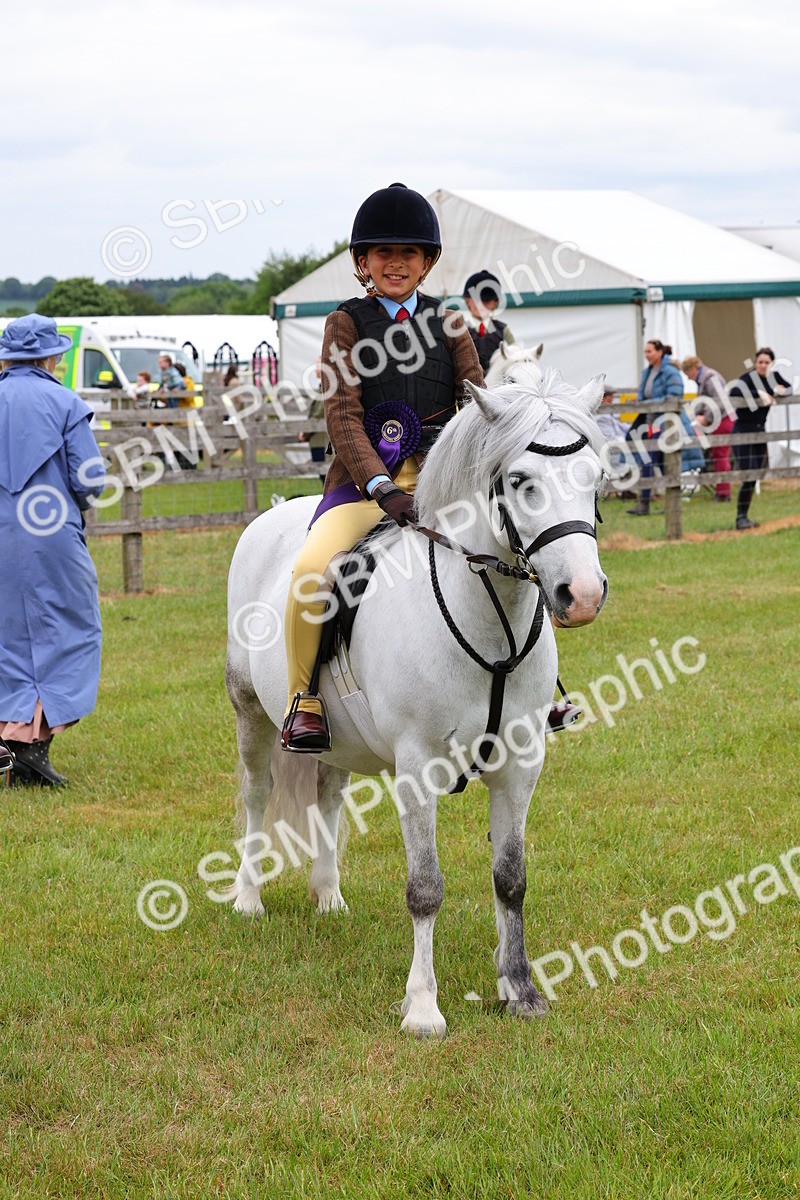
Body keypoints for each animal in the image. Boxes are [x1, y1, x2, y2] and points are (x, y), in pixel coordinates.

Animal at [225, 368, 609, 1037]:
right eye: (520, 481)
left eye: (594, 477)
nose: (581, 595)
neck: (490, 620)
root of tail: (272, 515)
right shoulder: (417, 767)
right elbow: (425, 887)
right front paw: (423, 1009)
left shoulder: (521, 765)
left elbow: (511, 878)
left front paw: (520, 990)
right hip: (250, 713)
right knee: (257, 794)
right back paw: (248, 897)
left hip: (336, 738)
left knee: (327, 794)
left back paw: (329, 896)